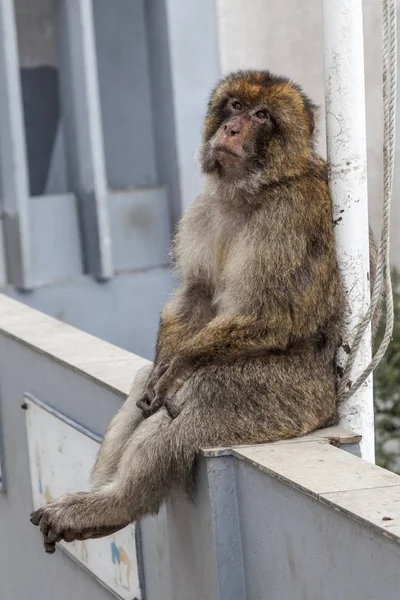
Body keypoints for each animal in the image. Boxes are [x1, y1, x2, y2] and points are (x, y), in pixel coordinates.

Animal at [30, 69, 376, 552]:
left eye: (262, 115)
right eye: (235, 106)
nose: (230, 129)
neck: (252, 193)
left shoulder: (289, 215)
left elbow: (273, 314)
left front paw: (182, 364)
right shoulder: (205, 210)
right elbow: (194, 296)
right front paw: (164, 365)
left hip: (295, 398)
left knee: (205, 393)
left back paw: (117, 501)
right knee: (150, 392)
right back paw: (99, 501)